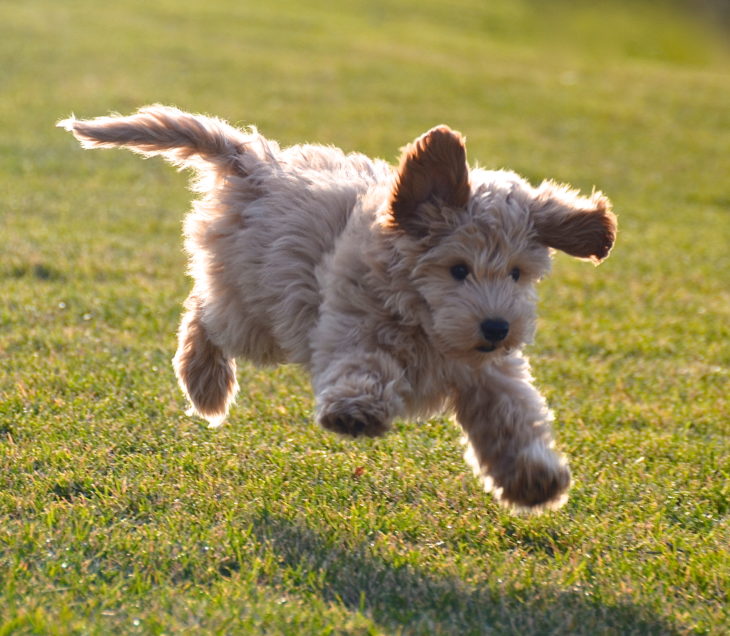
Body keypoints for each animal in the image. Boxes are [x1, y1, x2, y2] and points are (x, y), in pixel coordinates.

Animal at [58, 105, 616, 512]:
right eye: (458, 269)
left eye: (517, 273)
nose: (498, 326)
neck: (429, 326)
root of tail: (255, 162)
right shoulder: (351, 322)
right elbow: (365, 364)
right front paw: (356, 410)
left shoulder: (490, 373)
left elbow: (513, 418)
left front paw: (533, 480)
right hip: (258, 312)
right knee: (204, 312)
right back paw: (205, 383)